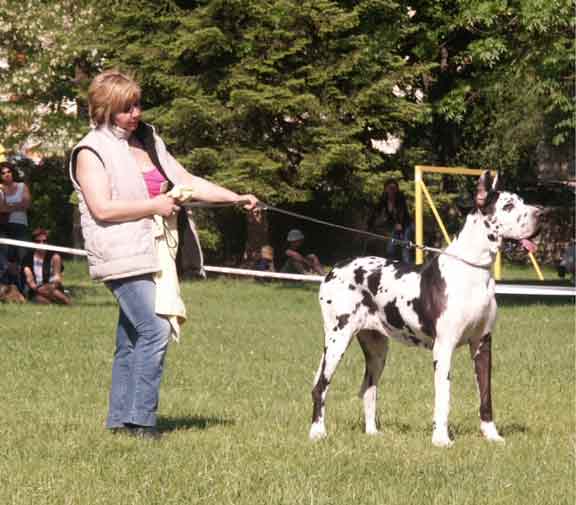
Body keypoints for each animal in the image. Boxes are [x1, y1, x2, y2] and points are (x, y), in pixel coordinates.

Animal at [310, 171, 540, 446]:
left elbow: (486, 396)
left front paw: (491, 435)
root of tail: (334, 269)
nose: (540, 213)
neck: (474, 272)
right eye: (508, 206)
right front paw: (441, 439)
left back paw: (372, 432)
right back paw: (317, 432)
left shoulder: (482, 344)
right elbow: (444, 397)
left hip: (377, 349)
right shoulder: (444, 346)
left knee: (368, 388)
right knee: (320, 386)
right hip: (338, 338)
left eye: (523, 201)